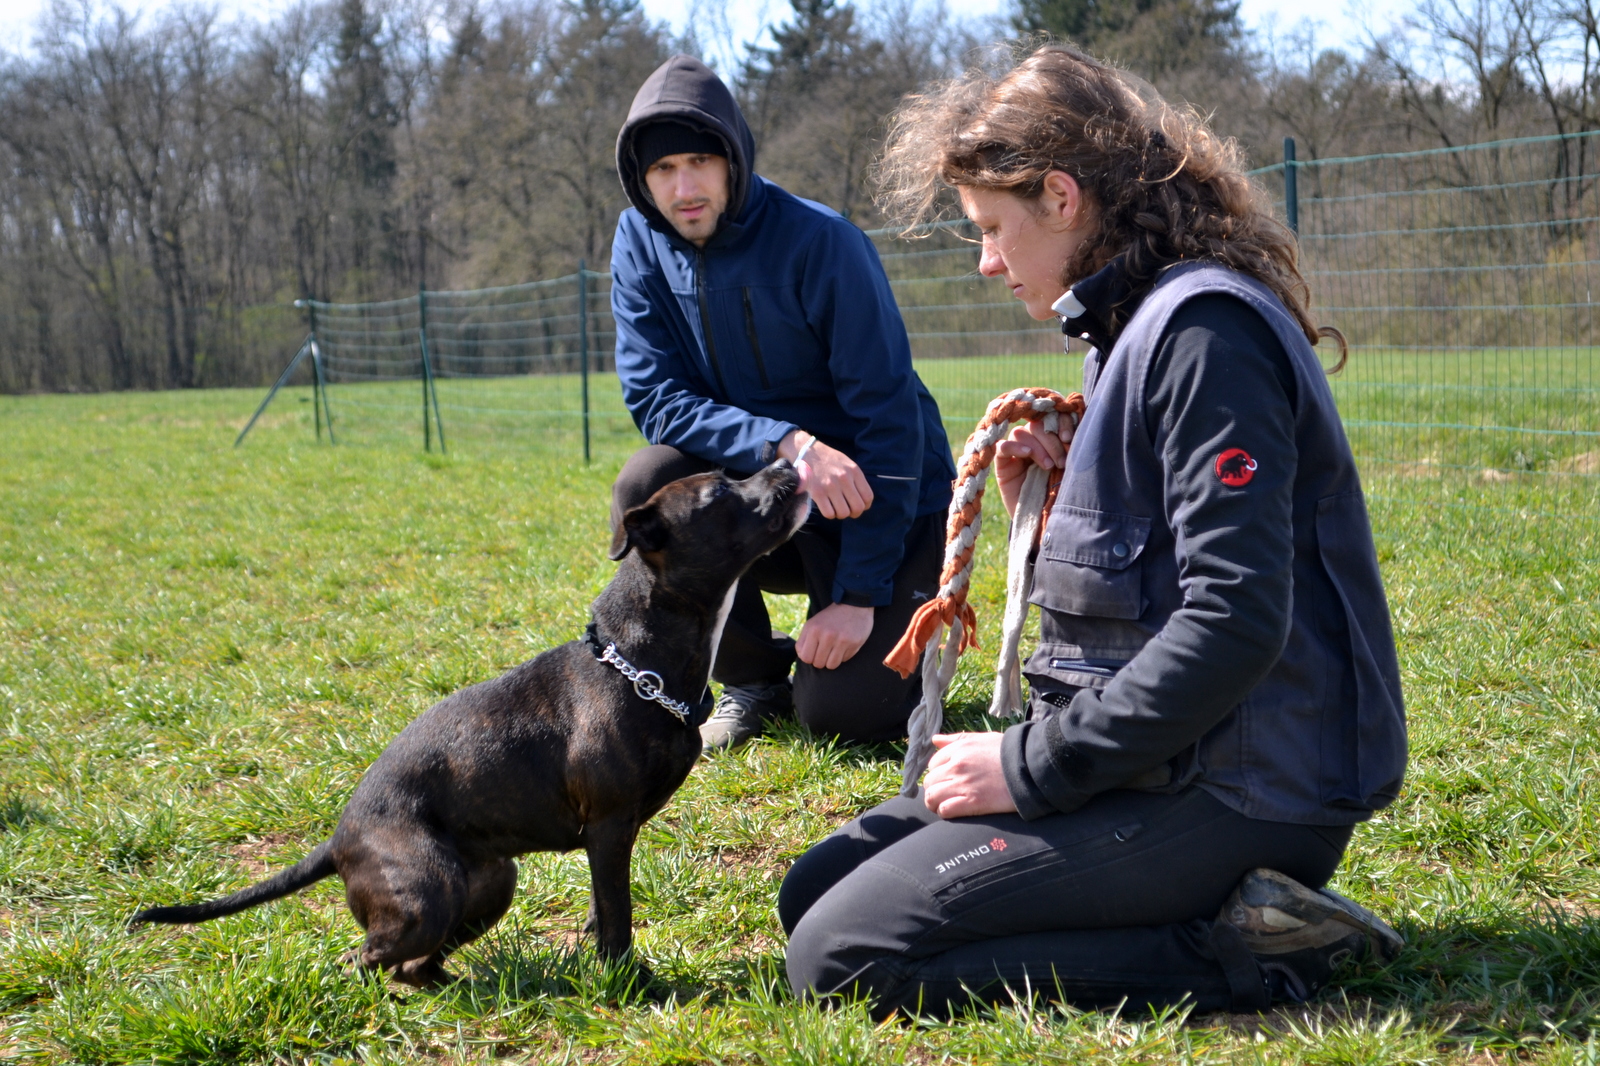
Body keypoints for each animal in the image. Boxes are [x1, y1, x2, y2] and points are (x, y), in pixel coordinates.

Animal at [131, 460, 809, 986]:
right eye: (719, 494)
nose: (786, 463)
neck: (637, 663)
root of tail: (339, 839)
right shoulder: (611, 826)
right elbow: (617, 918)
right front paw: (633, 984)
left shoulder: (606, 839)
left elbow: (601, 906)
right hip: (426, 894)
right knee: (362, 959)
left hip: (487, 884)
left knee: (409, 965)